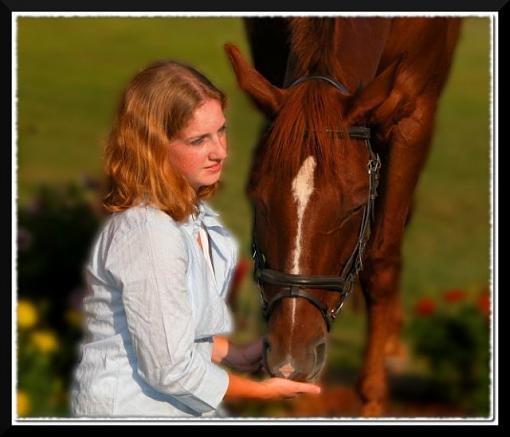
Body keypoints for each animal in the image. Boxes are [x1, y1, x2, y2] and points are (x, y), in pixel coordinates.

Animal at [225, 16, 460, 416]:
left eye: (354, 205)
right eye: (257, 198)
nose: (290, 360)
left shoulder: (415, 112)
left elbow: (381, 258)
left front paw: (372, 397)